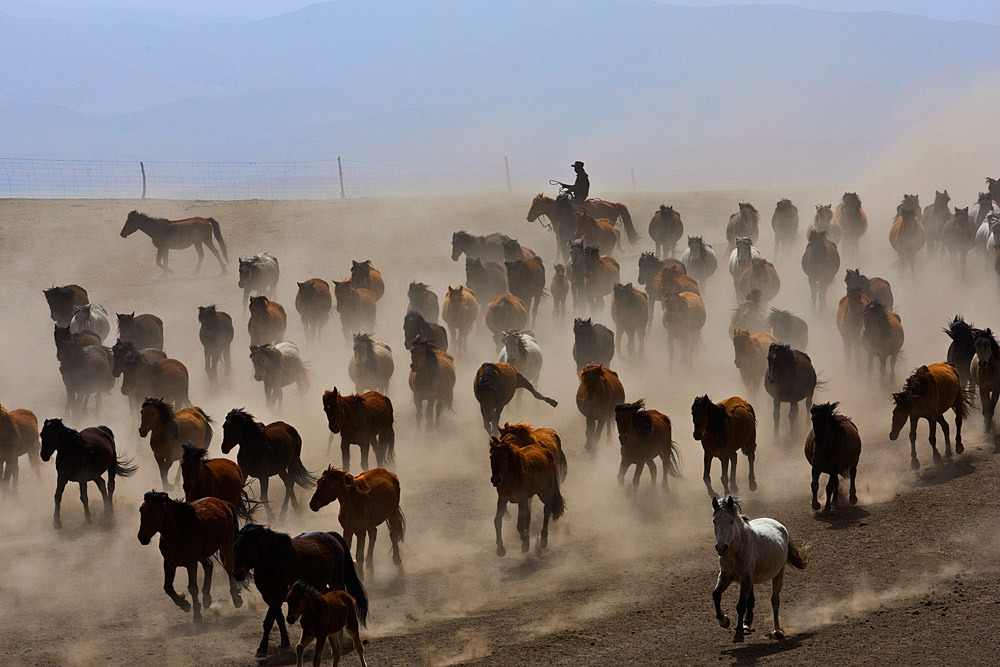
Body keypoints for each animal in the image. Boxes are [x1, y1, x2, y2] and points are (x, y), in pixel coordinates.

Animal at [137, 490, 244, 628]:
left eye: (153, 511)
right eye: (141, 510)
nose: (142, 537)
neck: (178, 533)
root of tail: (222, 502)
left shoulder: (191, 563)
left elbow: (193, 588)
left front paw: (197, 616)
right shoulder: (169, 563)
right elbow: (168, 587)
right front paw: (184, 604)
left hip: (226, 545)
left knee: (229, 568)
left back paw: (236, 599)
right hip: (202, 554)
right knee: (209, 565)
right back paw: (206, 599)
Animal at [233, 528, 368, 656]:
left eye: (250, 547)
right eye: (236, 546)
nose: (237, 574)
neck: (272, 561)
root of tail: (330, 535)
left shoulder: (277, 596)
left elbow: (269, 620)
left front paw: (262, 648)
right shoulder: (269, 597)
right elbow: (279, 618)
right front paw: (285, 643)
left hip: (336, 581)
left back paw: (340, 637)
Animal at [708, 498, 808, 644]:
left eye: (731, 521)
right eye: (714, 521)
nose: (721, 547)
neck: (736, 549)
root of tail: (779, 525)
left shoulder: (745, 578)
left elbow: (741, 605)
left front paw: (738, 634)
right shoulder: (726, 576)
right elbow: (716, 594)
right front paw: (724, 621)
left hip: (778, 574)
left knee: (775, 601)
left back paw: (777, 631)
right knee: (751, 600)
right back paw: (746, 625)